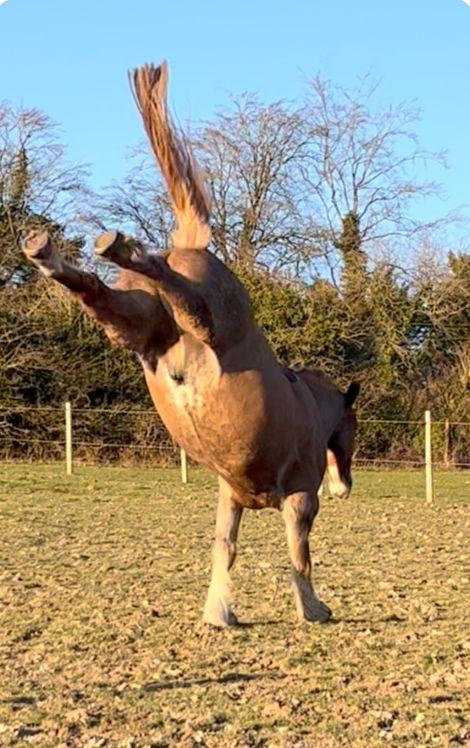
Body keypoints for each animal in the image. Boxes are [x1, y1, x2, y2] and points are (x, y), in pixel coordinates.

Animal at [23, 61, 359, 626]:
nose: (344, 487)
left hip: (134, 325)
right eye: (352, 428)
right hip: (203, 324)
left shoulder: (232, 497)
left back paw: (55, 252)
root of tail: (188, 249)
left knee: (95, 290)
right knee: (173, 287)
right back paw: (125, 247)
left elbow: (225, 547)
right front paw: (312, 608)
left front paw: (219, 612)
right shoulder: (299, 499)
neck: (313, 409)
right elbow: (299, 553)